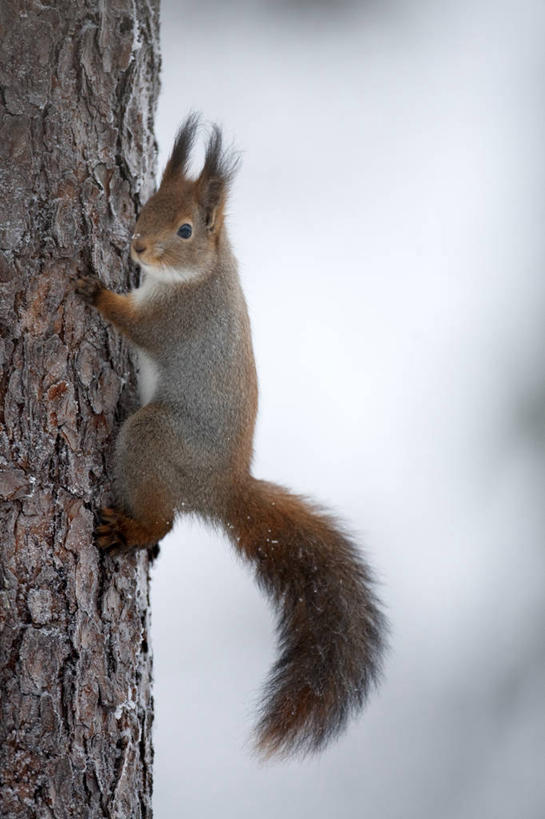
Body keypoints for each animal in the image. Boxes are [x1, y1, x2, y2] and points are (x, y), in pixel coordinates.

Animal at [74, 112, 384, 760]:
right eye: (146, 205)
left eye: (186, 229)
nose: (136, 245)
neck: (203, 272)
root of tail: (224, 487)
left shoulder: (176, 319)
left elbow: (136, 323)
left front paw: (94, 290)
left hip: (155, 440)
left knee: (163, 518)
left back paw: (133, 529)